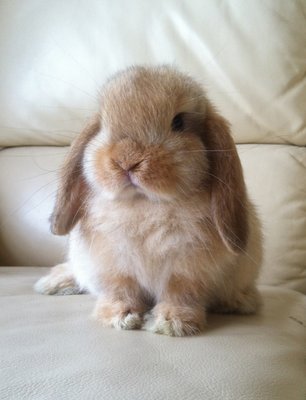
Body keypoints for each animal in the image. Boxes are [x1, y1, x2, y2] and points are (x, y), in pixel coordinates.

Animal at [34, 66, 262, 338]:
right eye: (103, 124)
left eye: (179, 122)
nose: (127, 160)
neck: (143, 205)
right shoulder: (115, 267)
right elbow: (120, 291)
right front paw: (120, 317)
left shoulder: (188, 270)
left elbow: (180, 294)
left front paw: (173, 323)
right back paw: (53, 283)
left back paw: (240, 302)